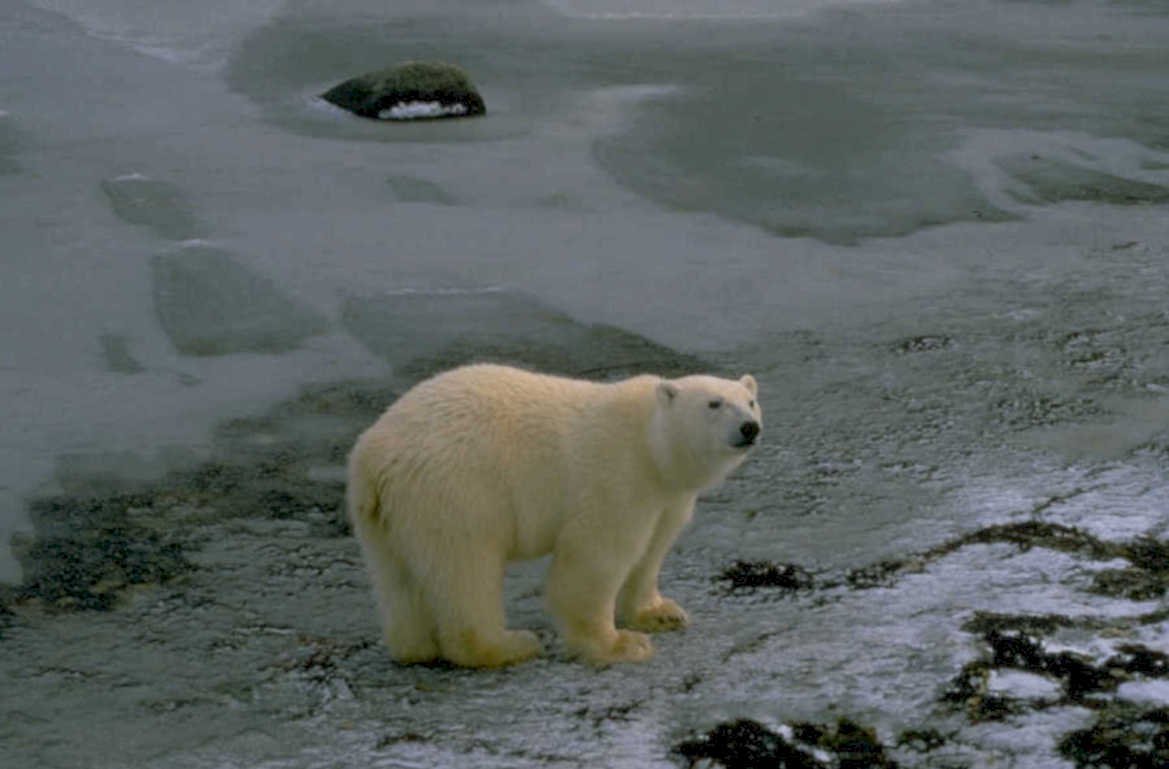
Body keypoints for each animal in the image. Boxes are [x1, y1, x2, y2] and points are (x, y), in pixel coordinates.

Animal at [346, 363, 761, 667]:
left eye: (751, 400)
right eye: (714, 403)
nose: (749, 427)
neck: (651, 444)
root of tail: (372, 456)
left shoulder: (667, 495)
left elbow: (652, 550)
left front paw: (662, 614)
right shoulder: (617, 475)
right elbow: (595, 558)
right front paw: (620, 645)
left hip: (387, 514)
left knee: (398, 578)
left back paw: (415, 647)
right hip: (456, 491)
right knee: (466, 570)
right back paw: (507, 645)